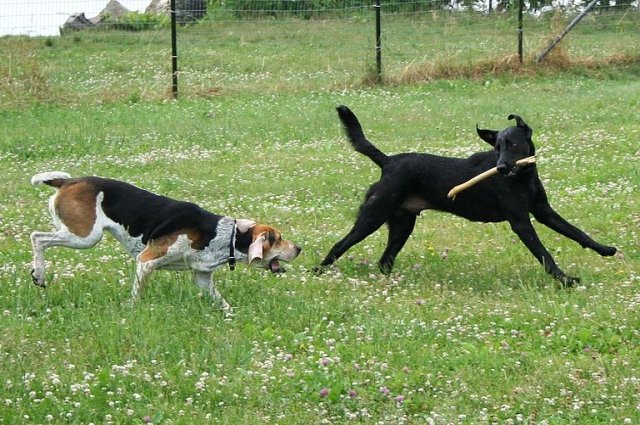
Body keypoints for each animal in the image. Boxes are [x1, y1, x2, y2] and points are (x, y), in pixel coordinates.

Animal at [28, 171, 302, 314]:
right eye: (279, 239)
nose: (299, 249)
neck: (226, 235)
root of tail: (68, 181)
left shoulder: (202, 278)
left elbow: (222, 302)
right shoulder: (146, 261)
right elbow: (137, 293)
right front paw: (132, 310)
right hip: (85, 237)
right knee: (37, 237)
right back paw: (39, 274)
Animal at [318, 105, 616, 284]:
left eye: (513, 144)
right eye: (497, 148)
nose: (501, 167)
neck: (523, 178)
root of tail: (388, 161)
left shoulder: (544, 212)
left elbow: (576, 232)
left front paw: (604, 249)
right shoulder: (521, 221)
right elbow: (544, 254)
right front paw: (565, 280)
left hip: (402, 224)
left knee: (384, 261)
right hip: (373, 216)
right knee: (338, 246)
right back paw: (316, 272)